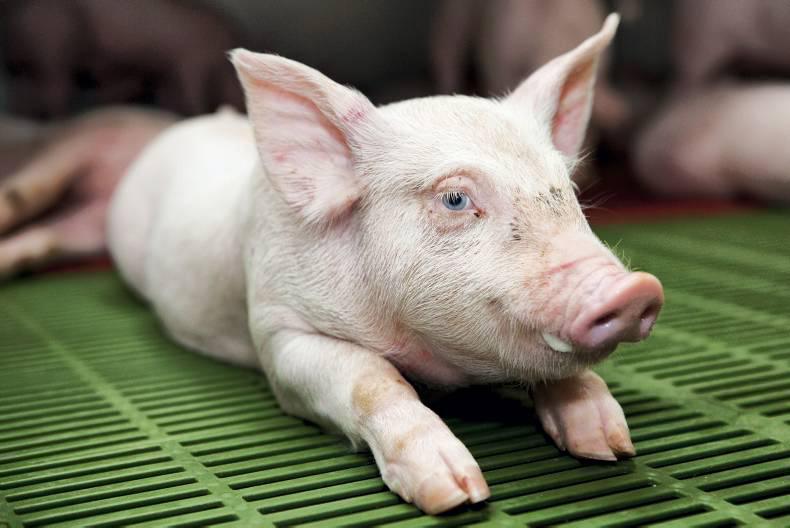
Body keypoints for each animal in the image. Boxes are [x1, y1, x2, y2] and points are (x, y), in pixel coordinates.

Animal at [108, 15, 664, 514]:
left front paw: (611, 447)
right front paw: (458, 494)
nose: (636, 290)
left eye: (566, 190)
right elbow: (370, 378)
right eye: (455, 198)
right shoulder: (278, 326)